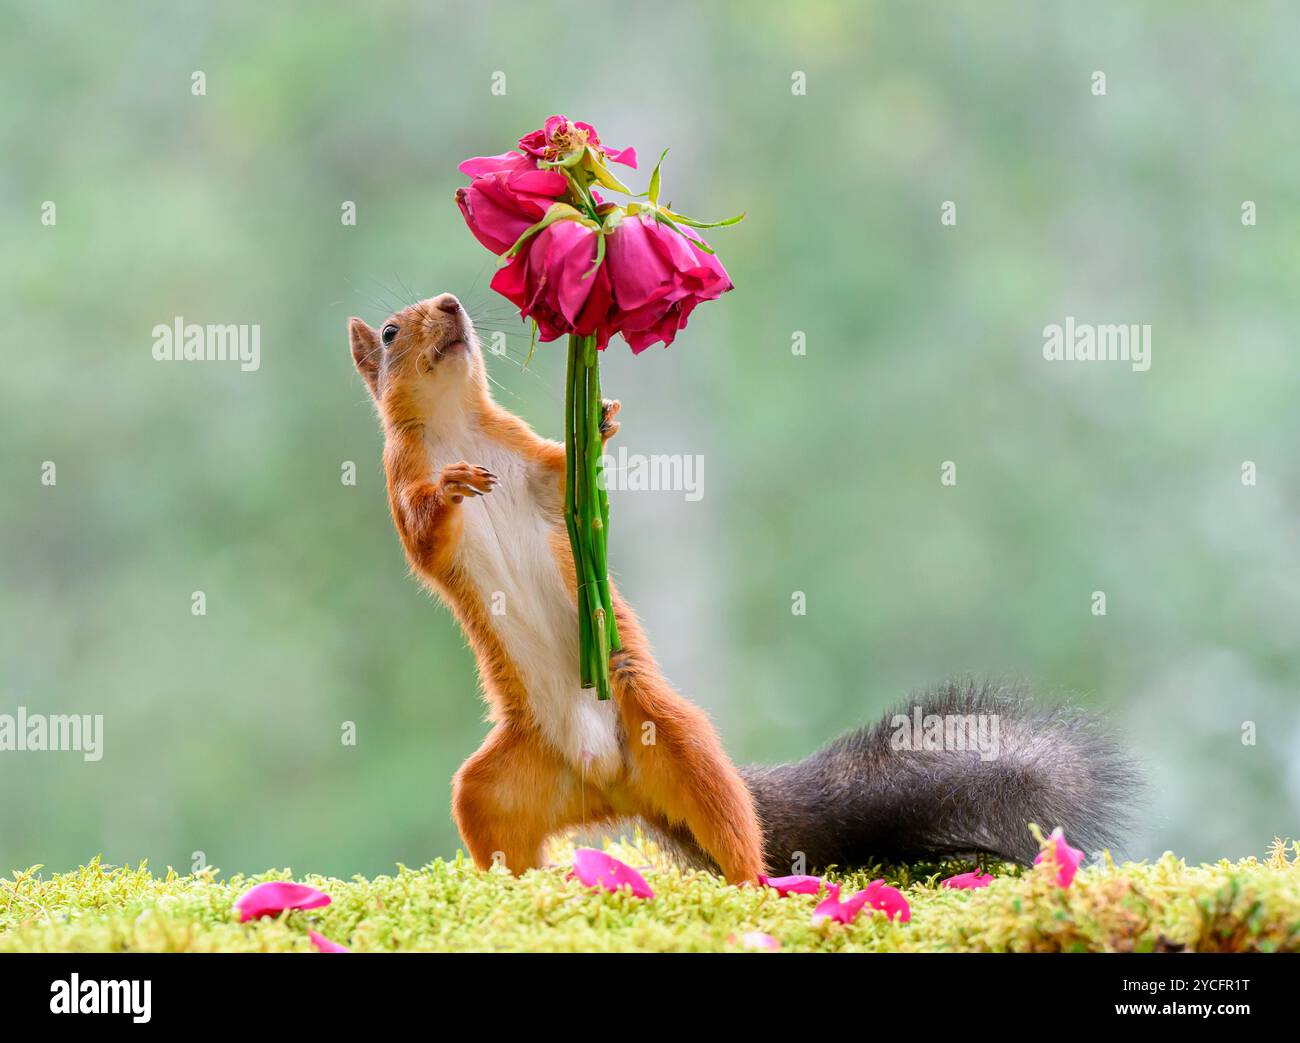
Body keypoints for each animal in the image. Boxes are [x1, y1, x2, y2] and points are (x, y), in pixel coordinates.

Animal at [351, 292, 1133, 879]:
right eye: (389, 331)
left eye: (450, 299)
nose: (451, 305)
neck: (457, 426)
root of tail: (606, 785)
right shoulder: (399, 482)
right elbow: (425, 534)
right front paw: (453, 486)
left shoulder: (535, 466)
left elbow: (569, 477)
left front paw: (599, 422)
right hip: (497, 789)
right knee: (501, 837)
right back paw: (521, 889)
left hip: (675, 740)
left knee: (732, 829)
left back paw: (752, 881)